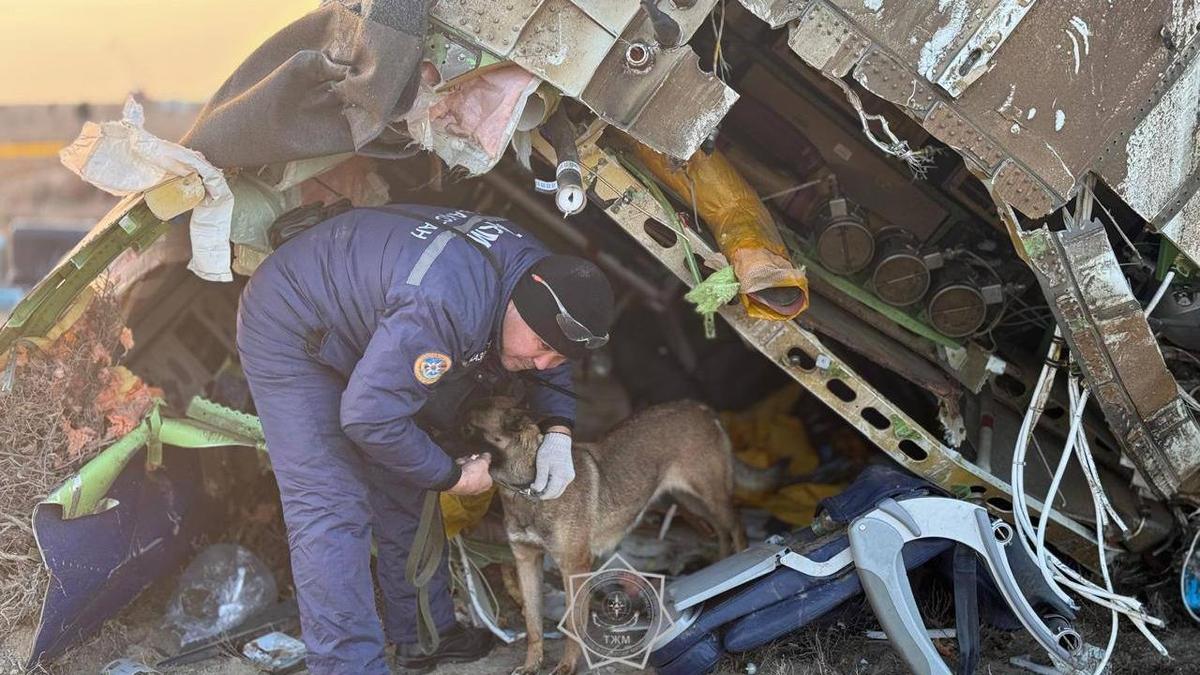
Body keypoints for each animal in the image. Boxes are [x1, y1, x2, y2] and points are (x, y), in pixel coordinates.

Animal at [465, 396, 739, 672]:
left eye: (468, 428)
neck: (529, 488)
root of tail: (698, 407)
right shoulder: (526, 561)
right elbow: (533, 624)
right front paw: (532, 665)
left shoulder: (574, 567)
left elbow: (573, 623)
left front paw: (567, 667)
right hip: (690, 500)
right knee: (721, 532)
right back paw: (723, 562)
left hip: (710, 498)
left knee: (736, 528)